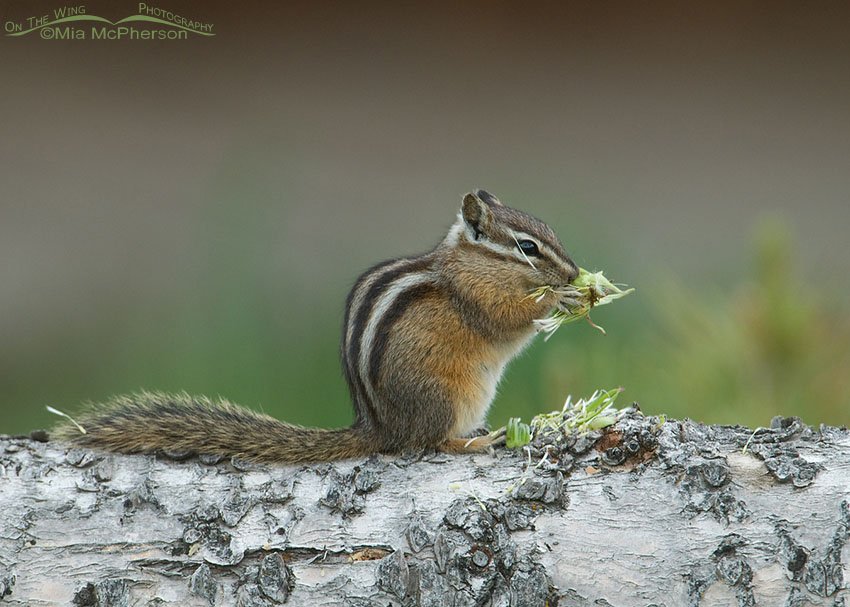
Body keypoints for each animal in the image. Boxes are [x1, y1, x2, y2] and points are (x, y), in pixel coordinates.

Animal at [54, 190, 580, 463]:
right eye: (528, 247)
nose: (575, 273)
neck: (470, 263)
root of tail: (379, 428)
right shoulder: (477, 299)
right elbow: (506, 322)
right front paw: (564, 297)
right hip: (448, 396)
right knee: (431, 442)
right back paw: (477, 441)